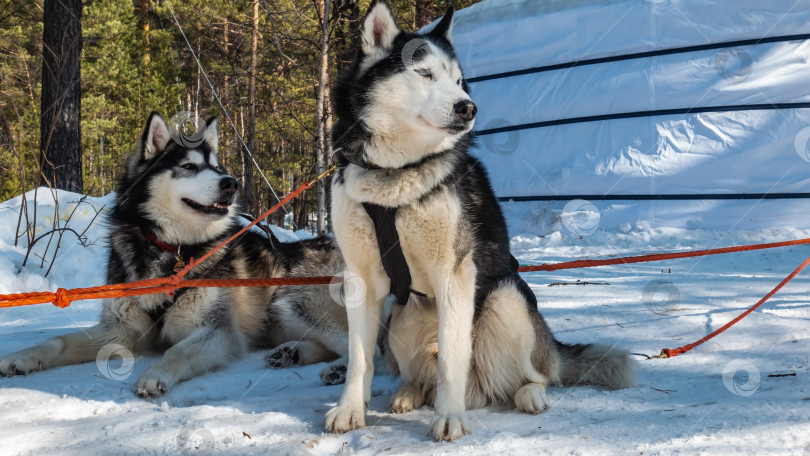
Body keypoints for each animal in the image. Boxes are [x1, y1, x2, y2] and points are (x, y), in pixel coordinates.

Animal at [0, 113, 348, 396]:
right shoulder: (120, 329)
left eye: (217, 169)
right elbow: (57, 341)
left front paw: (156, 374)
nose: (231, 183)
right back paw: (294, 353)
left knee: (355, 344)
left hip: (292, 302)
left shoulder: (217, 331)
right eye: (189, 167)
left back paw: (340, 370)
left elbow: (177, 351)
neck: (175, 248)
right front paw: (21, 357)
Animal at [326, 0, 636, 442]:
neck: (396, 174)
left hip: (506, 300)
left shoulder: (454, 273)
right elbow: (358, 358)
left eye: (459, 81)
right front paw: (350, 409)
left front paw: (449, 417)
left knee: (532, 374)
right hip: (397, 320)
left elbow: (452, 357)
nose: (468, 107)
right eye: (424, 73)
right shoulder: (361, 278)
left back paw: (528, 394)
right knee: (422, 376)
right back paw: (409, 392)